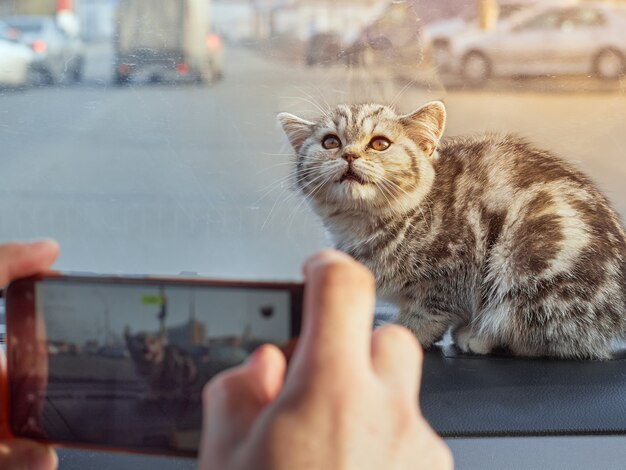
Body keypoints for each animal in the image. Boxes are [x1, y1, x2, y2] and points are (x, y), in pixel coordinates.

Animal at [278, 102, 624, 360]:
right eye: (330, 142)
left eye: (379, 143)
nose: (349, 154)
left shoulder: (452, 268)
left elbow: (428, 314)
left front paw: (401, 332)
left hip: (531, 259)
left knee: (549, 334)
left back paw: (480, 336)